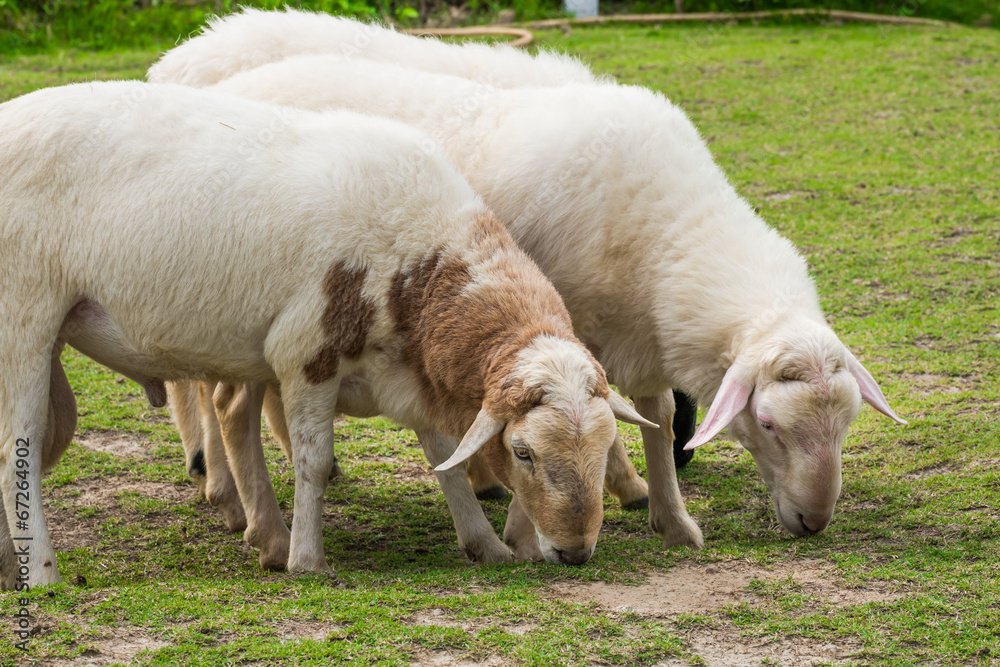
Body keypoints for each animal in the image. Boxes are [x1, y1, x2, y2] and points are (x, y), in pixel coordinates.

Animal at [0, 80, 653, 587]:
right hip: (23, 318)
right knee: (18, 448)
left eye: (604, 450)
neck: (420, 269)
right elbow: (314, 464)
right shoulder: (307, 354)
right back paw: (44, 574)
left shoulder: (411, 371)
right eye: (523, 452)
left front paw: (484, 545)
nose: (575, 552)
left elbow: (444, 458)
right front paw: (308, 560)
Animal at [172, 52, 906, 552]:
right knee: (212, 393)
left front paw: (670, 516)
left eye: (847, 425)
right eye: (772, 424)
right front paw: (530, 527)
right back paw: (229, 494)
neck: (667, 228)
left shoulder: (639, 335)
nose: (814, 521)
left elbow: (658, 419)